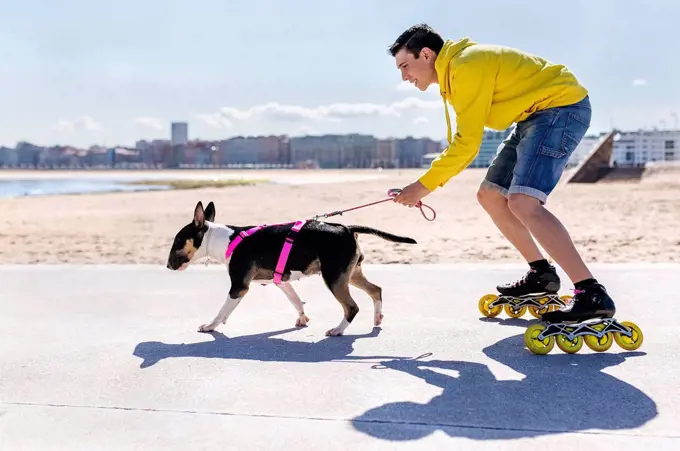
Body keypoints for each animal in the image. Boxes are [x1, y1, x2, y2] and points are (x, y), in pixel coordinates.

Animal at [167, 203, 418, 338]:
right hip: (350, 274)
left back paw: (338, 330)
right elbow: (296, 300)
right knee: (376, 290)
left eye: (178, 240)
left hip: (334, 278)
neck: (226, 240)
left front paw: (210, 326)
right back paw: (377, 318)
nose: (168, 266)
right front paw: (303, 318)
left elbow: (222, 311)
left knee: (352, 306)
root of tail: (346, 228)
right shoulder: (282, 281)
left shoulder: (238, 287)